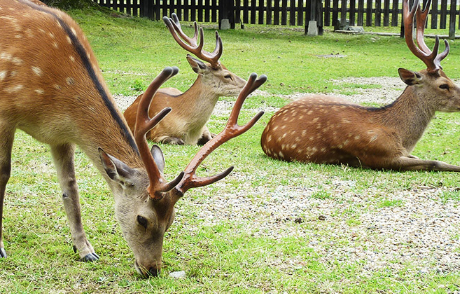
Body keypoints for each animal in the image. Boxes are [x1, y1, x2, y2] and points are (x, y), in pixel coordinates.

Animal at [121, 14, 244, 145]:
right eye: (227, 75)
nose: (246, 84)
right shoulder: (156, 134)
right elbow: (178, 141)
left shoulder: (204, 130)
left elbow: (211, 138)